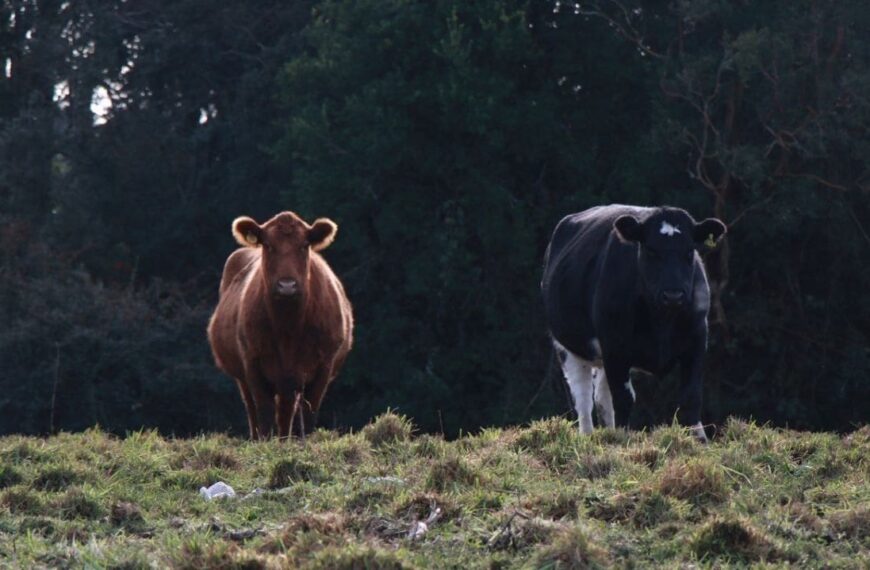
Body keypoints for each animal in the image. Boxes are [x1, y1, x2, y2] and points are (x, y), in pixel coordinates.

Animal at [206, 211, 352, 438]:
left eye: (304, 245)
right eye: (268, 245)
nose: (287, 285)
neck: (288, 327)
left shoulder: (323, 365)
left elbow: (309, 413)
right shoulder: (253, 363)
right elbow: (264, 412)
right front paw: (265, 442)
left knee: (286, 414)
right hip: (245, 378)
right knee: (253, 411)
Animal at [544, 204, 728, 440]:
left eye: (689, 251)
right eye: (650, 250)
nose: (673, 295)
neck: (661, 322)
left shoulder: (697, 339)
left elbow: (691, 395)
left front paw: (699, 441)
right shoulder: (614, 345)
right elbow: (624, 398)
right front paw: (622, 439)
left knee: (601, 397)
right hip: (569, 347)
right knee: (583, 399)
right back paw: (588, 435)